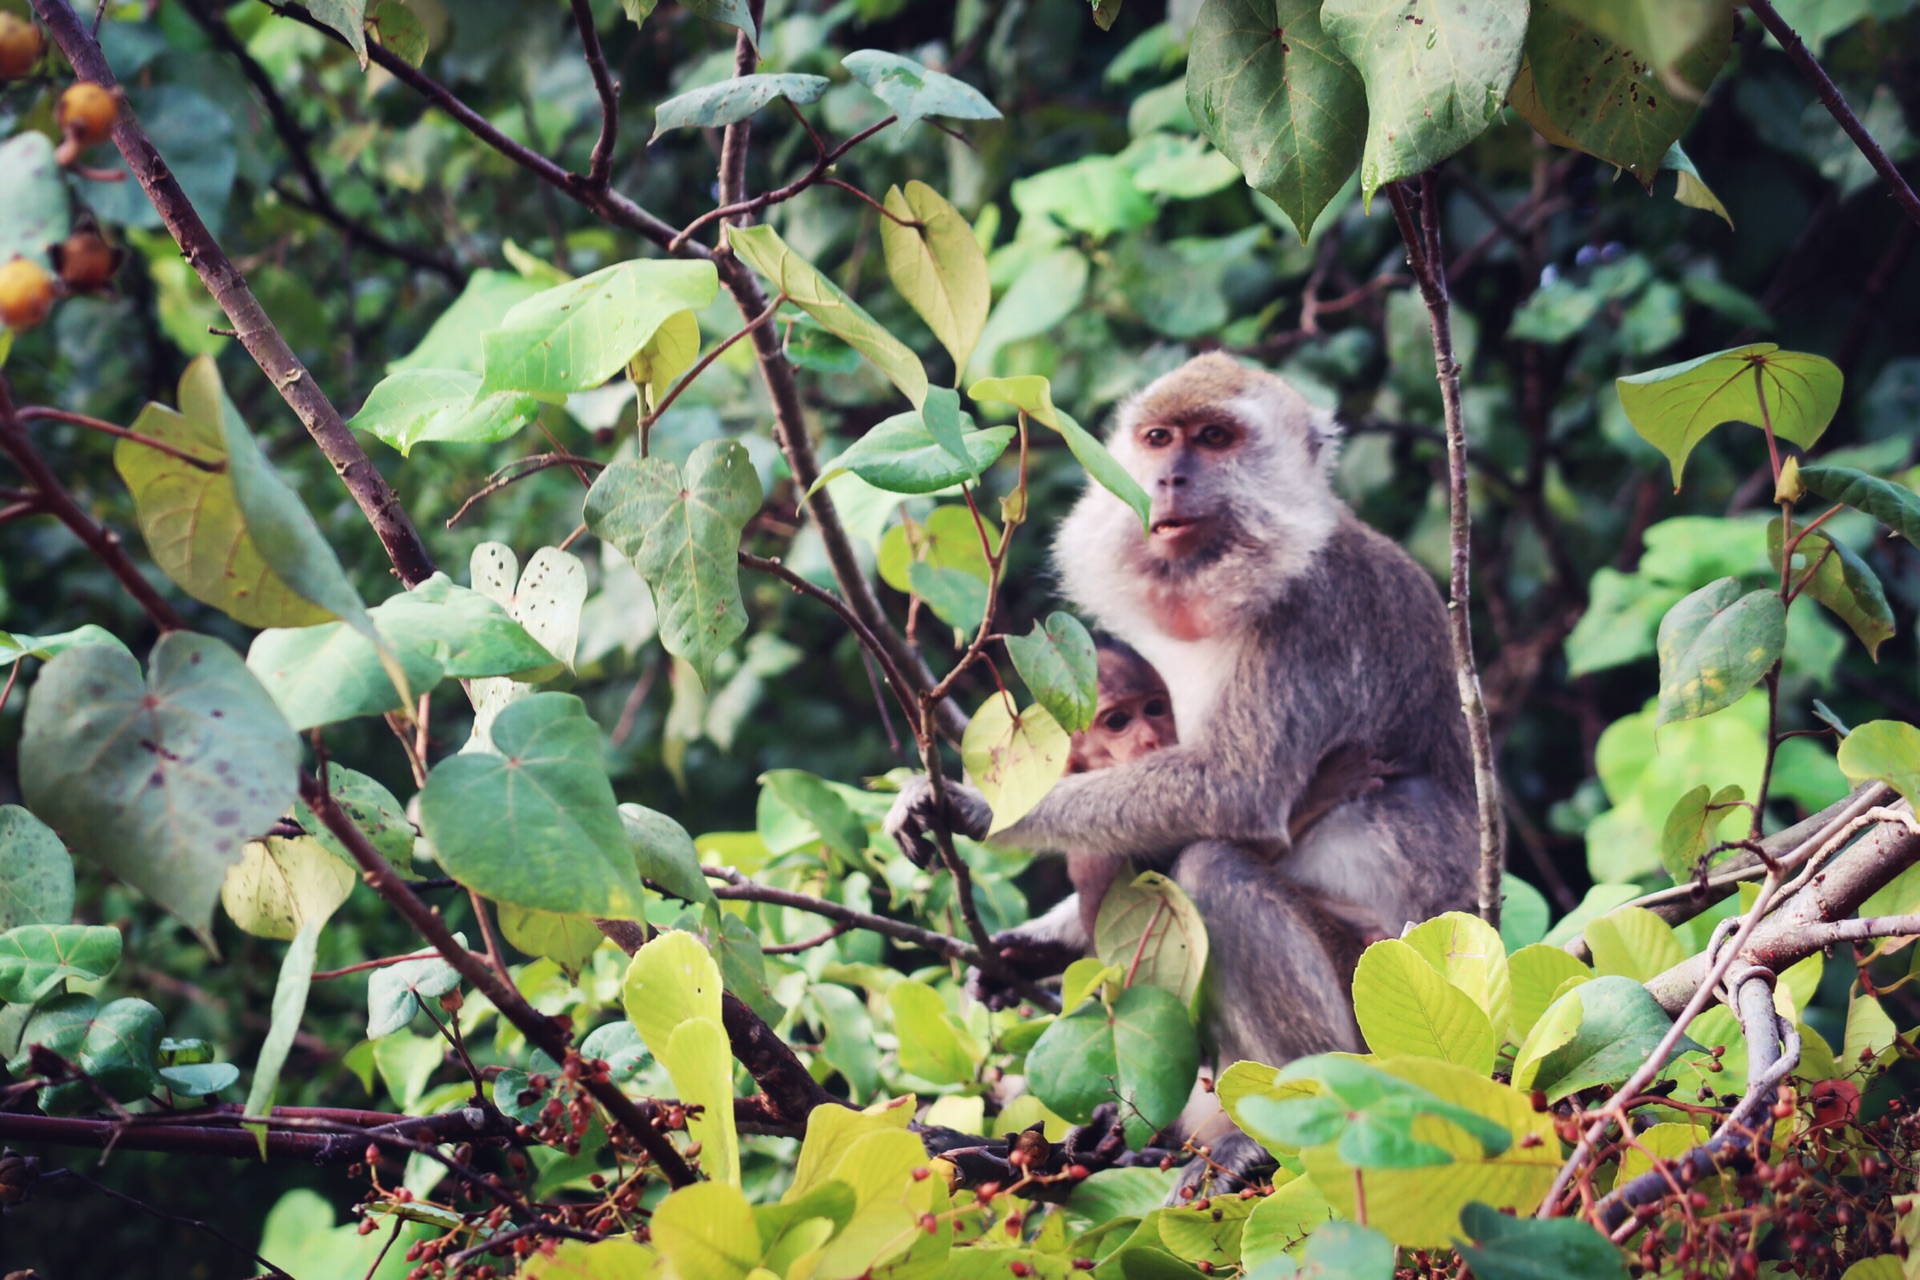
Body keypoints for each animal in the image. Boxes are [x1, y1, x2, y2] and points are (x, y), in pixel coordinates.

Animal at [890, 353, 1474, 1189]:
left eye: (1217, 438)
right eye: (1160, 438)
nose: (1169, 478)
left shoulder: (1312, 615)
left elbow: (1235, 795)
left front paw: (978, 811)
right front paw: (1026, 949)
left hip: (1383, 1009)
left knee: (1213, 871)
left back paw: (1273, 1128)